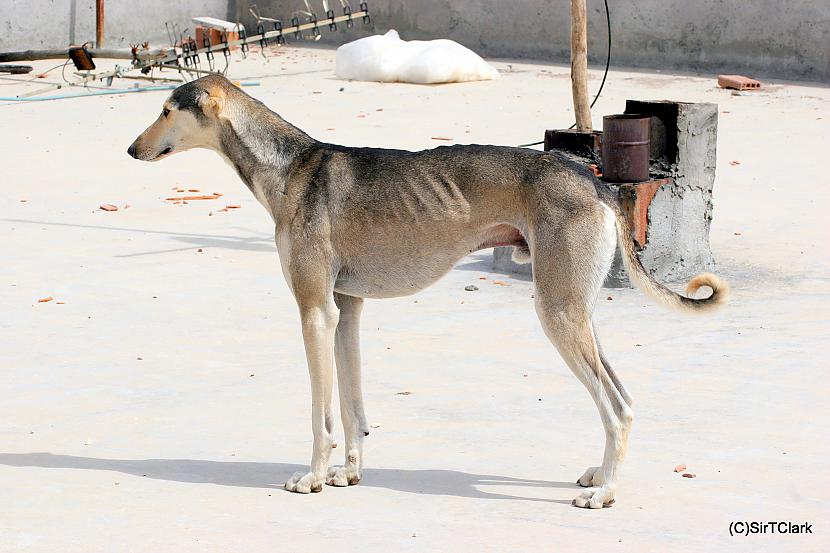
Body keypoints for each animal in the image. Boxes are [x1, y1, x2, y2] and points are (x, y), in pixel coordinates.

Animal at [125, 74, 728, 508]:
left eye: (166, 110)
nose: (131, 149)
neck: (291, 168)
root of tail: (595, 181)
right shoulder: (346, 310)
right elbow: (351, 407)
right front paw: (349, 473)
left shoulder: (315, 311)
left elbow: (322, 414)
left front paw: (313, 477)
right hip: (577, 312)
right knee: (622, 399)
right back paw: (598, 475)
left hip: (557, 313)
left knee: (616, 409)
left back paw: (605, 492)